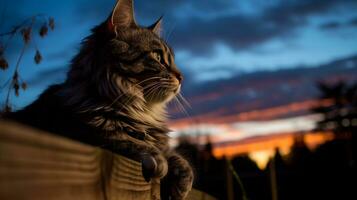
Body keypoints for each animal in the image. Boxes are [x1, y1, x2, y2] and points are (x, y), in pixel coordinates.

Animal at [3, 0, 192, 199]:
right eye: (157, 57)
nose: (182, 77)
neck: (141, 111)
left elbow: (178, 158)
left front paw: (182, 183)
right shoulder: (84, 133)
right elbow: (123, 139)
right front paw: (157, 160)